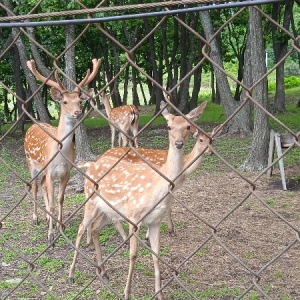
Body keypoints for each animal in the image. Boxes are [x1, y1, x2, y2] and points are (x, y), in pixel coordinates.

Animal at [23, 58, 101, 244]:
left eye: (79, 101)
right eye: (64, 102)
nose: (77, 112)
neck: (60, 154)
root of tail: (32, 127)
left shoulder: (65, 172)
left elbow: (59, 199)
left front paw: (60, 227)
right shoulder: (50, 171)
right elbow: (52, 203)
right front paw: (50, 236)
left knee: (43, 186)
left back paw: (46, 218)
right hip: (31, 163)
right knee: (35, 187)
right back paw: (36, 218)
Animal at [67, 101, 211, 300]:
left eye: (188, 127)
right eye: (169, 126)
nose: (178, 143)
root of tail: (92, 165)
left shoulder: (155, 220)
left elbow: (156, 254)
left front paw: (159, 294)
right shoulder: (134, 216)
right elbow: (133, 254)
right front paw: (127, 292)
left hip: (107, 210)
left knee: (95, 228)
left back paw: (103, 271)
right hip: (90, 199)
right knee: (81, 227)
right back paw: (71, 274)